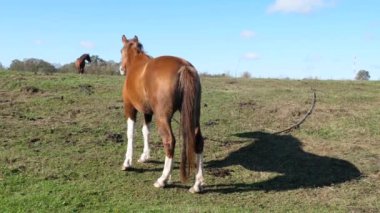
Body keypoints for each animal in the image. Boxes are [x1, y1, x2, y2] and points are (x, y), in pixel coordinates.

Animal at [120, 35, 205, 193]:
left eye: (121, 50)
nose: (121, 69)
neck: (136, 64)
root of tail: (184, 66)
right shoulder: (147, 112)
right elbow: (145, 131)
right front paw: (145, 156)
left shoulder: (130, 108)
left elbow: (131, 134)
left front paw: (127, 162)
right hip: (194, 116)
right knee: (198, 141)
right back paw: (197, 184)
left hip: (163, 118)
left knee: (169, 141)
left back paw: (163, 179)